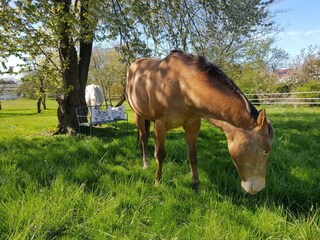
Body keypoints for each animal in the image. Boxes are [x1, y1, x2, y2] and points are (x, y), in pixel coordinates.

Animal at [126, 50, 274, 195]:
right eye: (266, 151)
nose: (259, 188)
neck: (182, 86)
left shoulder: (193, 124)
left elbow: (192, 155)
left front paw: (196, 184)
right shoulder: (160, 124)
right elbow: (161, 154)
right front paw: (157, 181)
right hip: (138, 115)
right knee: (144, 138)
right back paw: (145, 163)